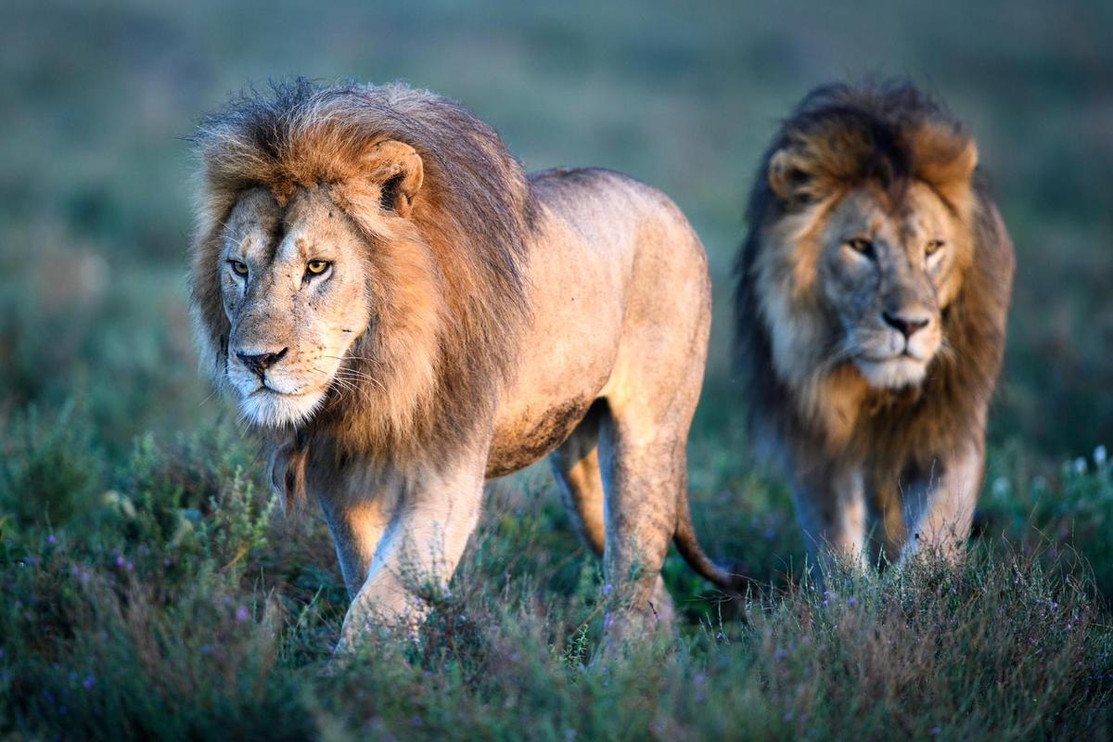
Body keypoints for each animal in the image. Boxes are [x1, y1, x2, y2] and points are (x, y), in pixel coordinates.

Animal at [189, 80, 741, 649]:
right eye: (239, 268)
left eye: (317, 267)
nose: (256, 360)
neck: (377, 372)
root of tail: (663, 201)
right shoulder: (344, 475)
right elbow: (366, 574)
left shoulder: (445, 472)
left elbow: (378, 606)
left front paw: (354, 671)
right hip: (580, 473)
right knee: (652, 589)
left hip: (647, 441)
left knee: (631, 573)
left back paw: (617, 667)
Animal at [733, 81, 1014, 573]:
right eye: (861, 246)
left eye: (933, 247)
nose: (909, 324)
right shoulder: (814, 432)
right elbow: (834, 535)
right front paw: (854, 591)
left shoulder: (952, 421)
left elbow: (936, 531)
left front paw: (910, 588)